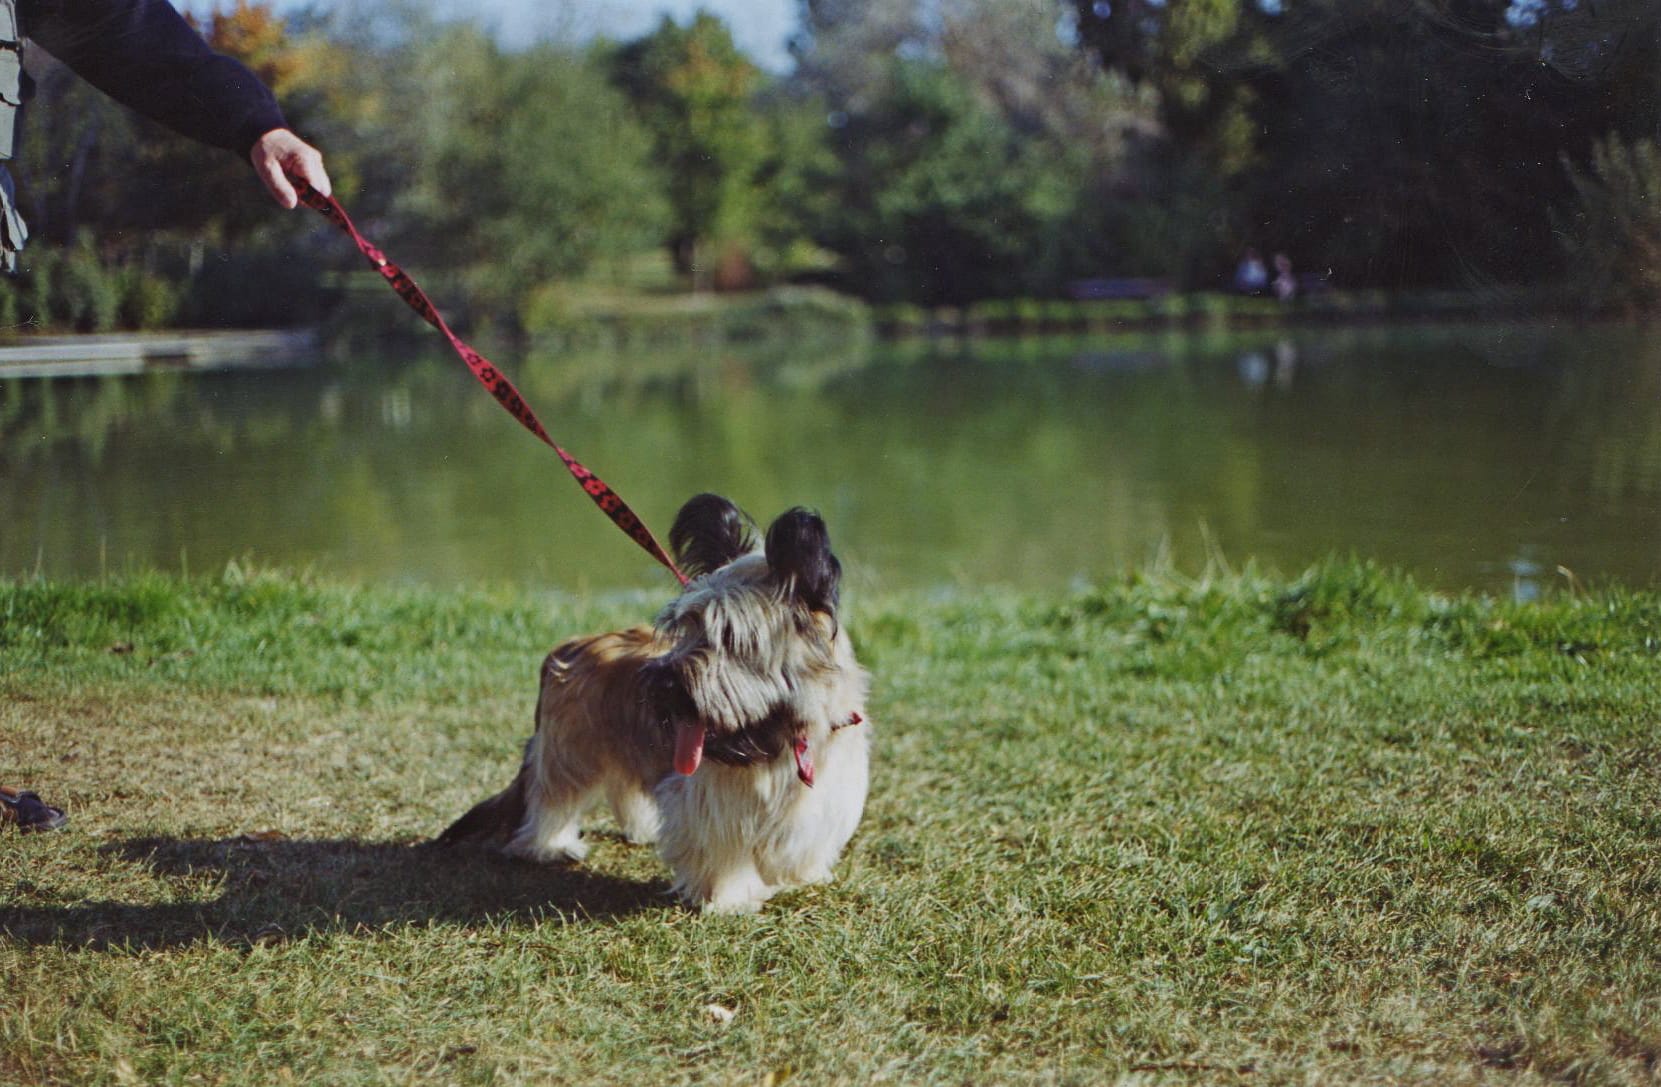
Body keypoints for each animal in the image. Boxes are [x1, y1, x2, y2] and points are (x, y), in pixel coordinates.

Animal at [441, 498, 870, 917]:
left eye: (729, 635)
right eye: (689, 625)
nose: (663, 683)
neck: (782, 736)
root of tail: (570, 646)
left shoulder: (824, 794)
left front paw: (805, 875)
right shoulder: (714, 804)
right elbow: (723, 851)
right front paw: (727, 899)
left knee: (623, 786)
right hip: (570, 752)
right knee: (552, 796)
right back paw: (549, 846)